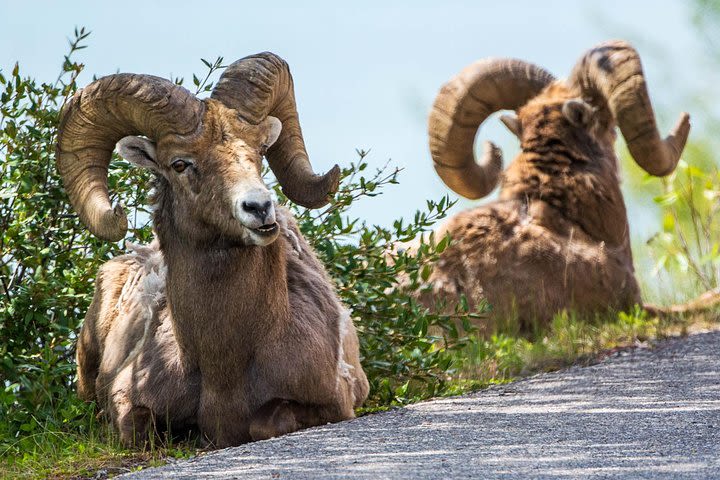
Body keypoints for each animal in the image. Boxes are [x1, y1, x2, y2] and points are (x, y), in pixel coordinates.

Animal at [55, 54, 368, 448]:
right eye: (180, 164)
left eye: (260, 151)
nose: (259, 208)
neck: (223, 366)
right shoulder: (125, 400)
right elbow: (138, 430)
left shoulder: (336, 403)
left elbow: (264, 423)